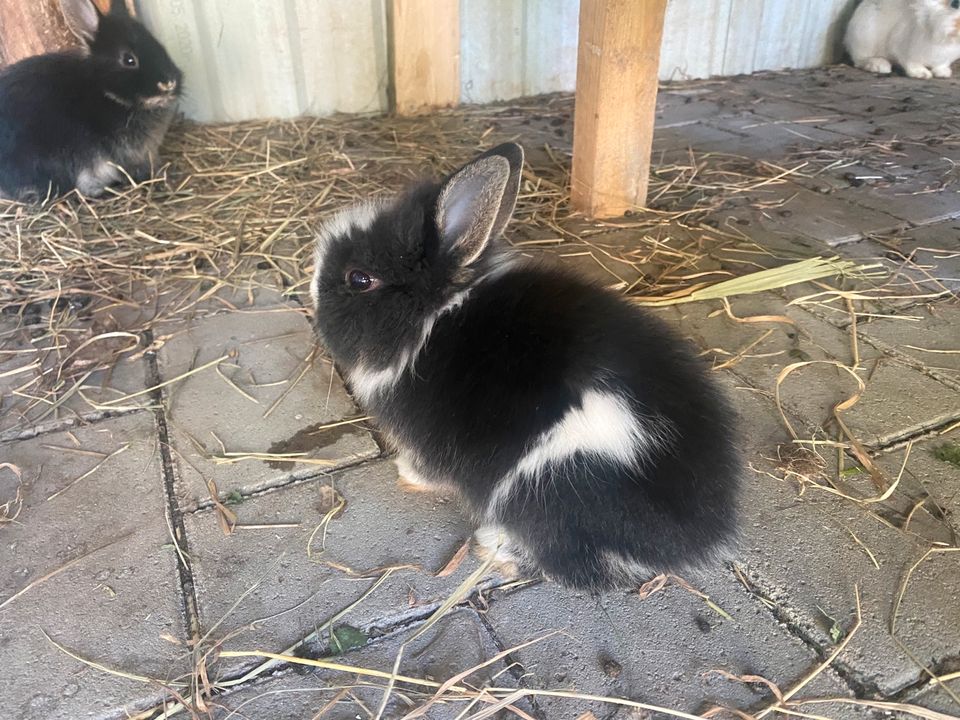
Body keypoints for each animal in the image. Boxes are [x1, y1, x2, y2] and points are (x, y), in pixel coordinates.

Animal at [310, 145, 744, 592]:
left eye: (359, 279)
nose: (311, 293)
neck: (434, 316)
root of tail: (691, 539)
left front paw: (408, 473)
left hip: (548, 485)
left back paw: (496, 548)